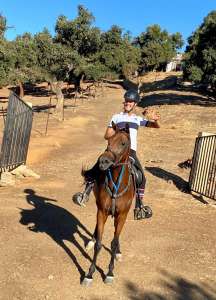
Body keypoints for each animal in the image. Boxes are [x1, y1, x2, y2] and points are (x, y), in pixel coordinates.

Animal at [81, 122, 135, 286]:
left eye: (123, 143)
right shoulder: (102, 211)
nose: (103, 161)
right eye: (109, 141)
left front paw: (110, 273)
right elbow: (99, 244)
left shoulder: (122, 215)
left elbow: (113, 243)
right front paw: (89, 274)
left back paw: (118, 252)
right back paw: (91, 240)